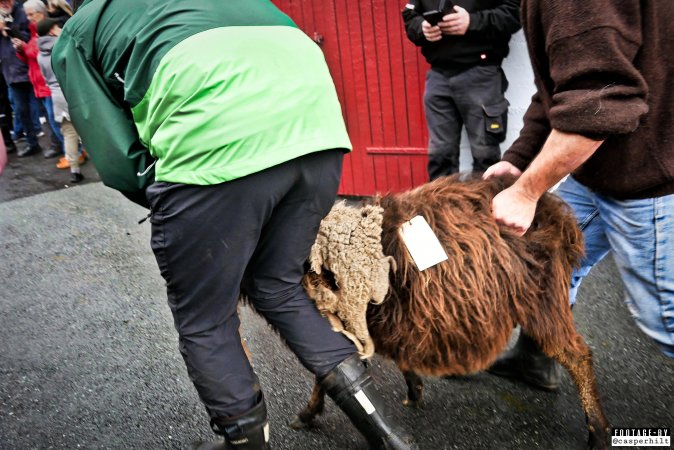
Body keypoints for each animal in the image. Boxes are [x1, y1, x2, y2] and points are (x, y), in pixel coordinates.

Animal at [292, 175, 608, 450]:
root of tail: (558, 217)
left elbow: (325, 373)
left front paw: (306, 415)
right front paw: (415, 391)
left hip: (542, 300)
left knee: (578, 356)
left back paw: (598, 433)